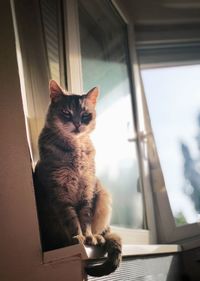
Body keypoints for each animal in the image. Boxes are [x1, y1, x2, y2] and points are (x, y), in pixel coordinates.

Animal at [34, 79, 122, 276]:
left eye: (85, 114)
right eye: (66, 113)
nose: (77, 124)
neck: (76, 149)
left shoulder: (87, 190)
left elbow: (85, 217)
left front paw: (88, 236)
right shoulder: (59, 192)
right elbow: (72, 219)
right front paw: (78, 236)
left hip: (103, 195)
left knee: (102, 231)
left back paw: (97, 236)